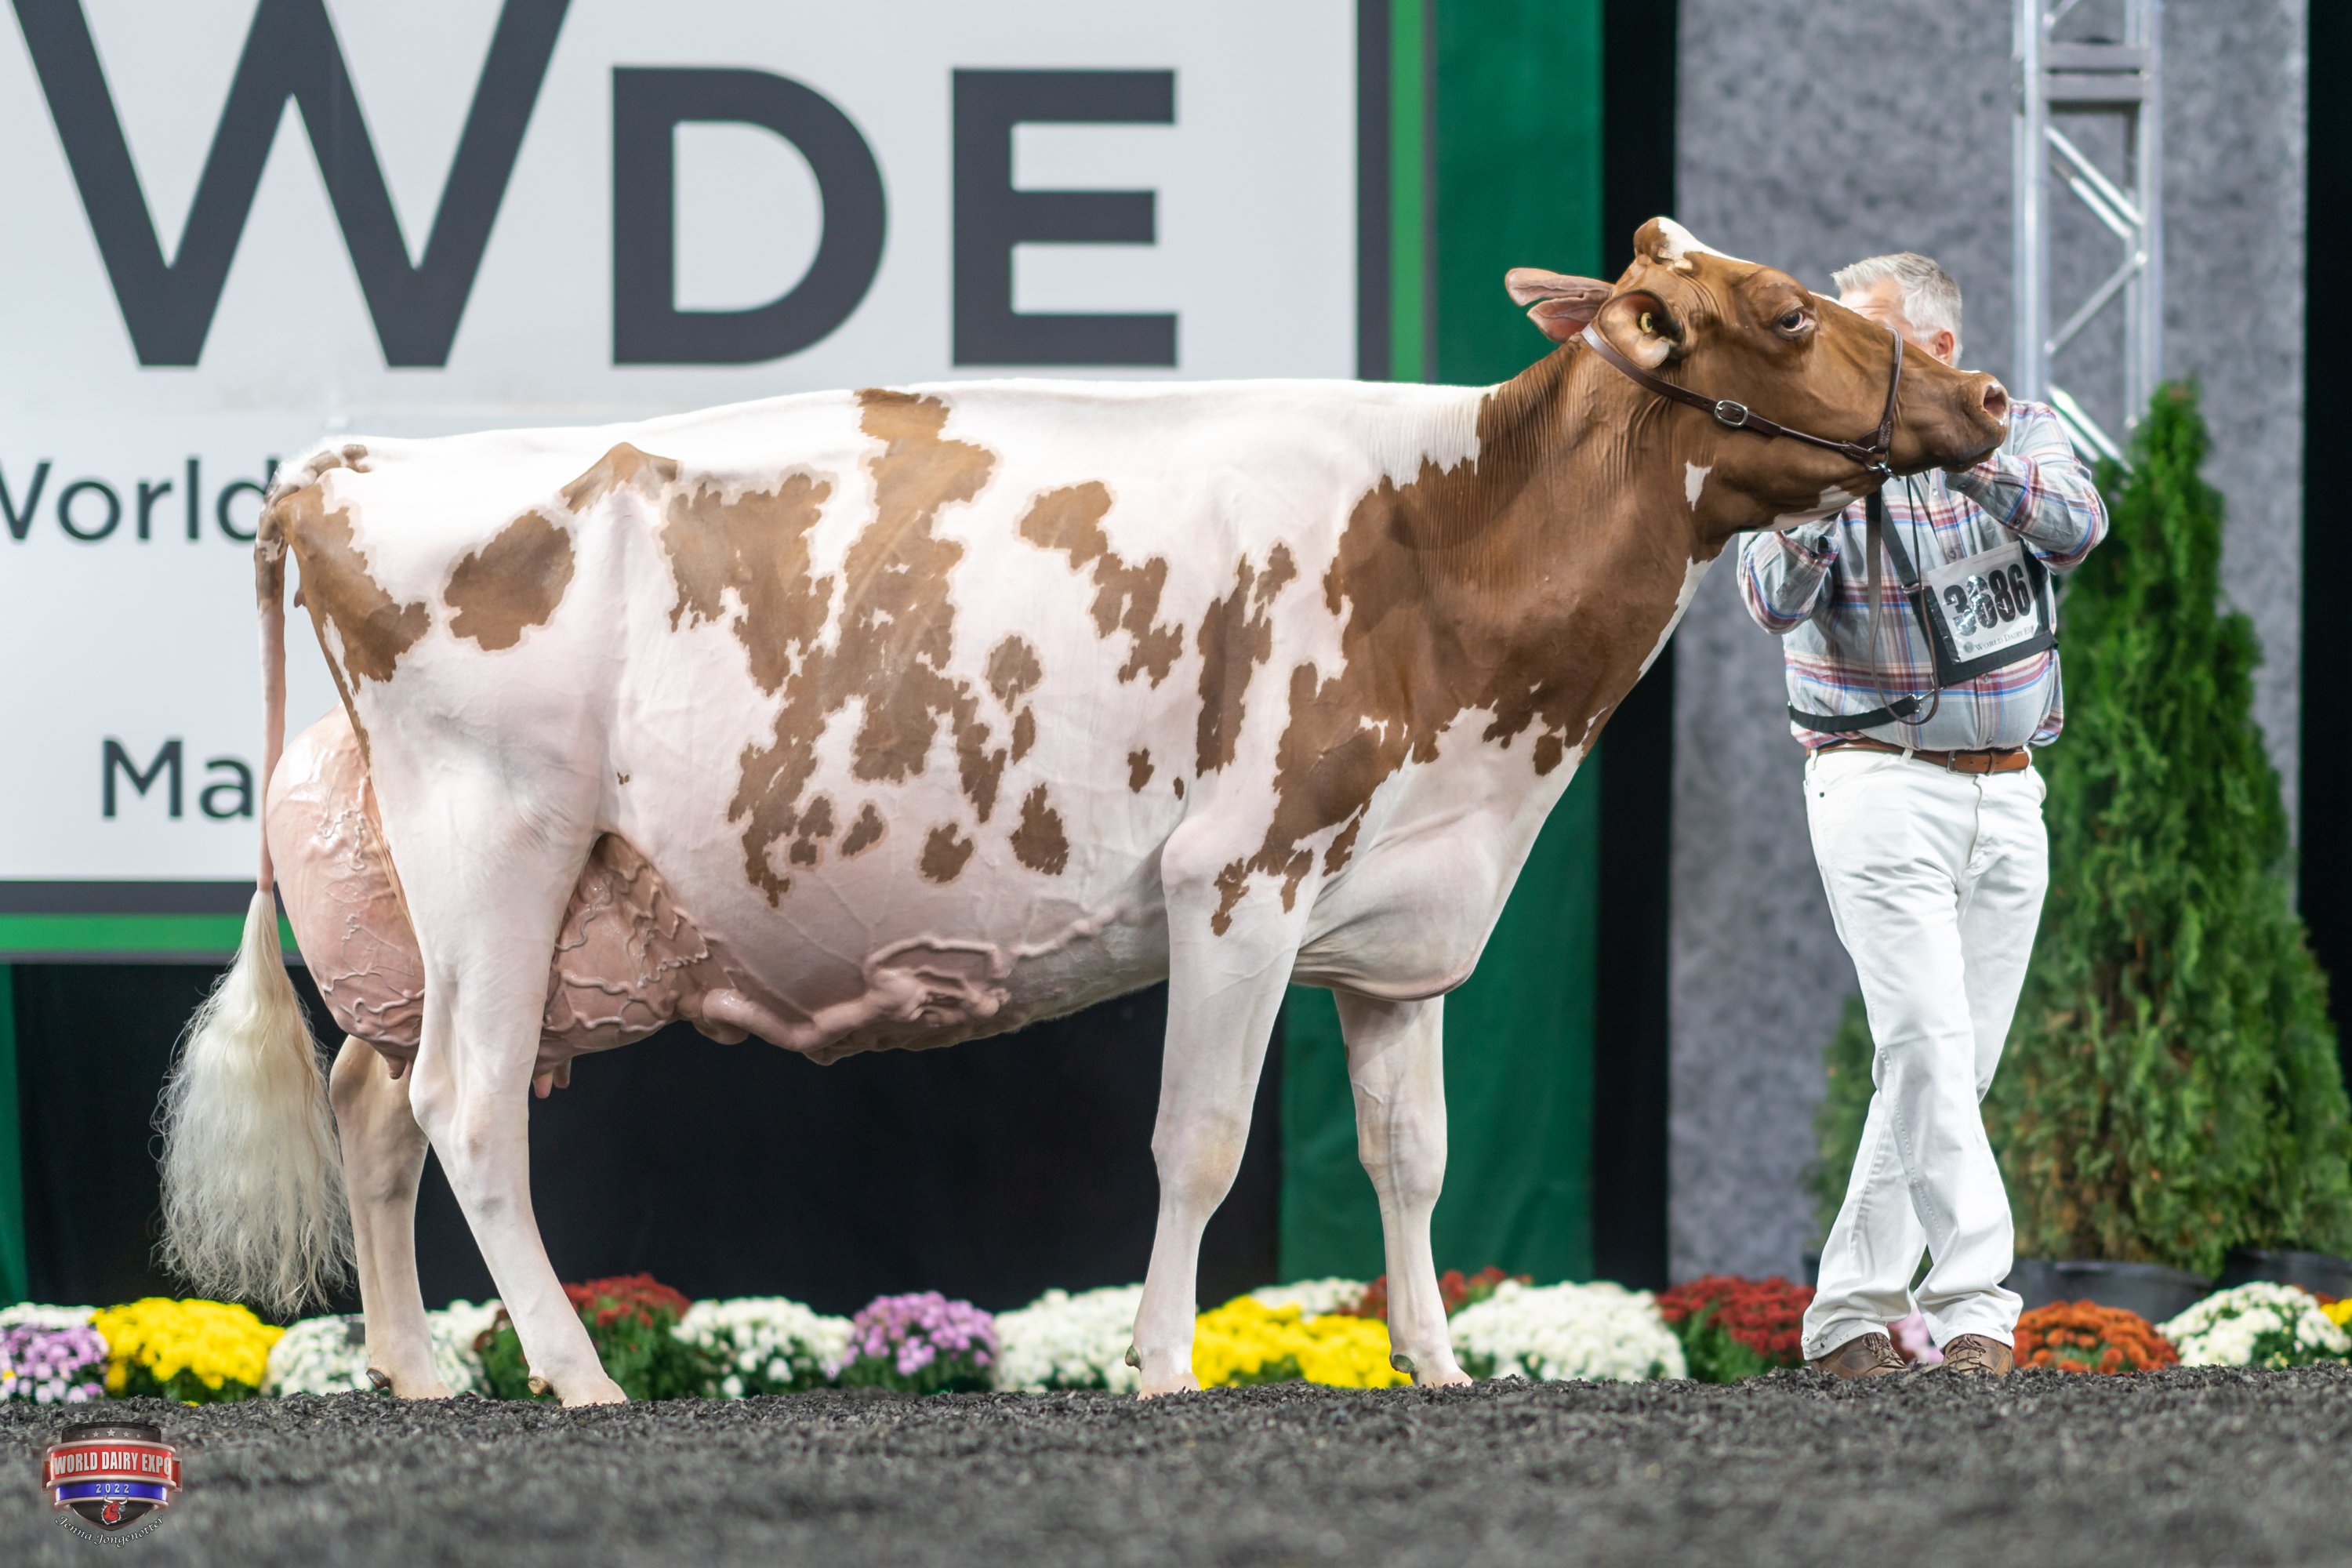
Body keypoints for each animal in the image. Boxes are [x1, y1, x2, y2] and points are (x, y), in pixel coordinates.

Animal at [157, 219, 2009, 1404]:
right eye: (1786, 316)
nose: (1988, 401)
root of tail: (352, 465)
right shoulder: (1237, 878)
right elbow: (1199, 1143)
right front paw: (1166, 1364)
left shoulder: (1400, 922)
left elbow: (1412, 1159)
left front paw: (1435, 1358)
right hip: (499, 848)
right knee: (467, 1110)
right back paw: (572, 1374)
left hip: (432, 901)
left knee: (373, 1103)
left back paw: (414, 1372)